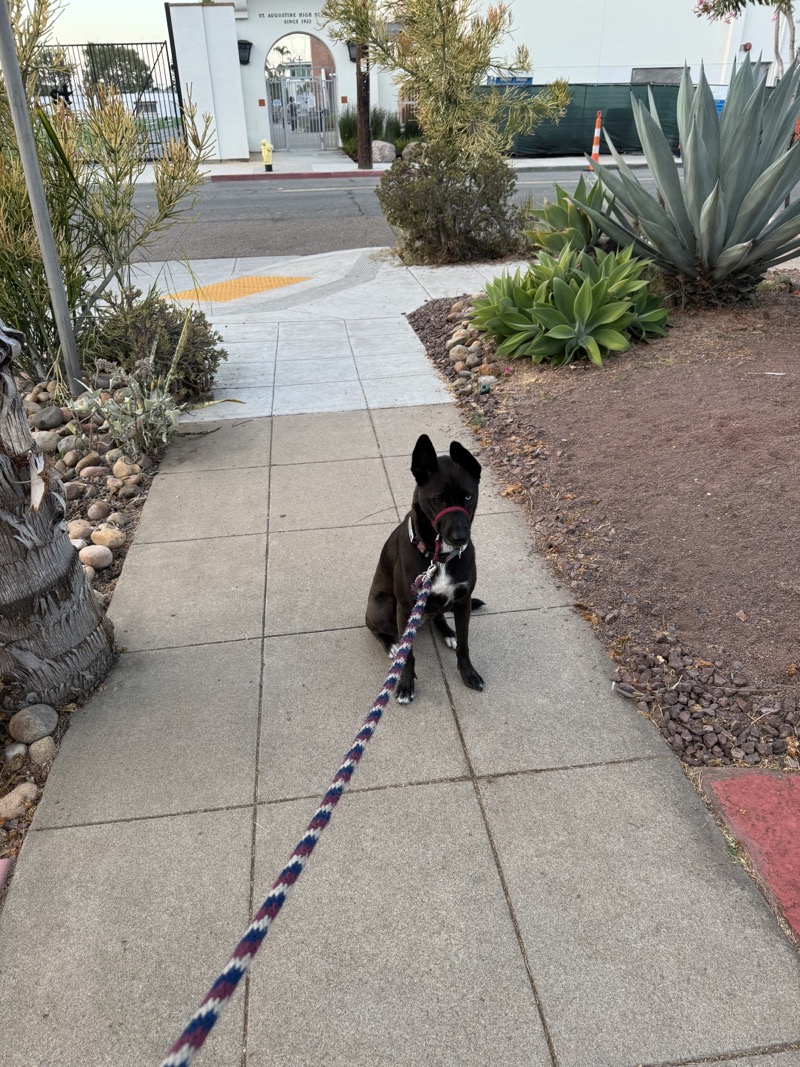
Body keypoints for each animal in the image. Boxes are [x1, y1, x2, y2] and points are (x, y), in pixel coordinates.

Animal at [366, 433, 486, 699]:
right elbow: (408, 655)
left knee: (440, 616)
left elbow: (465, 645)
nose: (460, 537)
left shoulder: (463, 601)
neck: (438, 558)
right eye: (438, 499)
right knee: (376, 628)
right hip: (384, 606)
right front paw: (404, 683)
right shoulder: (405, 607)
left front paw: (468, 673)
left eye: (468, 496)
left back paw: (448, 633)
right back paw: (391, 644)